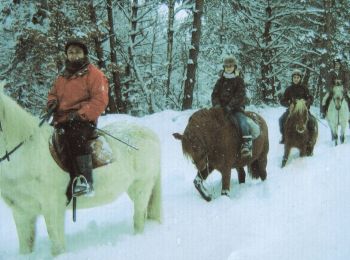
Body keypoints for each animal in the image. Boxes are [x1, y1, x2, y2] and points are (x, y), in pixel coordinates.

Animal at [0, 82, 161, 255]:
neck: (28, 153)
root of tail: (149, 133)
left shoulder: (52, 207)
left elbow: (57, 246)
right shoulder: (22, 212)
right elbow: (25, 246)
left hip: (142, 186)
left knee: (139, 218)